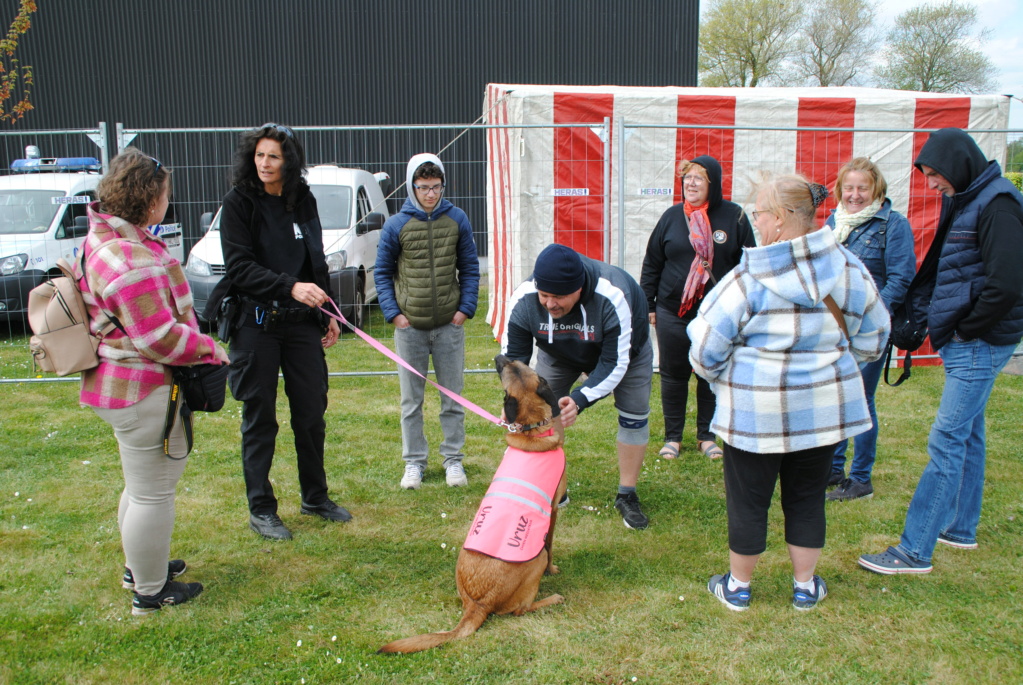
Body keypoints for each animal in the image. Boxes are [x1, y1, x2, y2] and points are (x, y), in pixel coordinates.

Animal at [380, 353, 568, 654]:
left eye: (513, 363)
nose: (499, 355)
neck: (530, 428)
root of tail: (477, 603)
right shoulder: (551, 511)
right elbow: (550, 546)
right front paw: (553, 571)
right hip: (533, 560)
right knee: (520, 609)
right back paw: (552, 599)